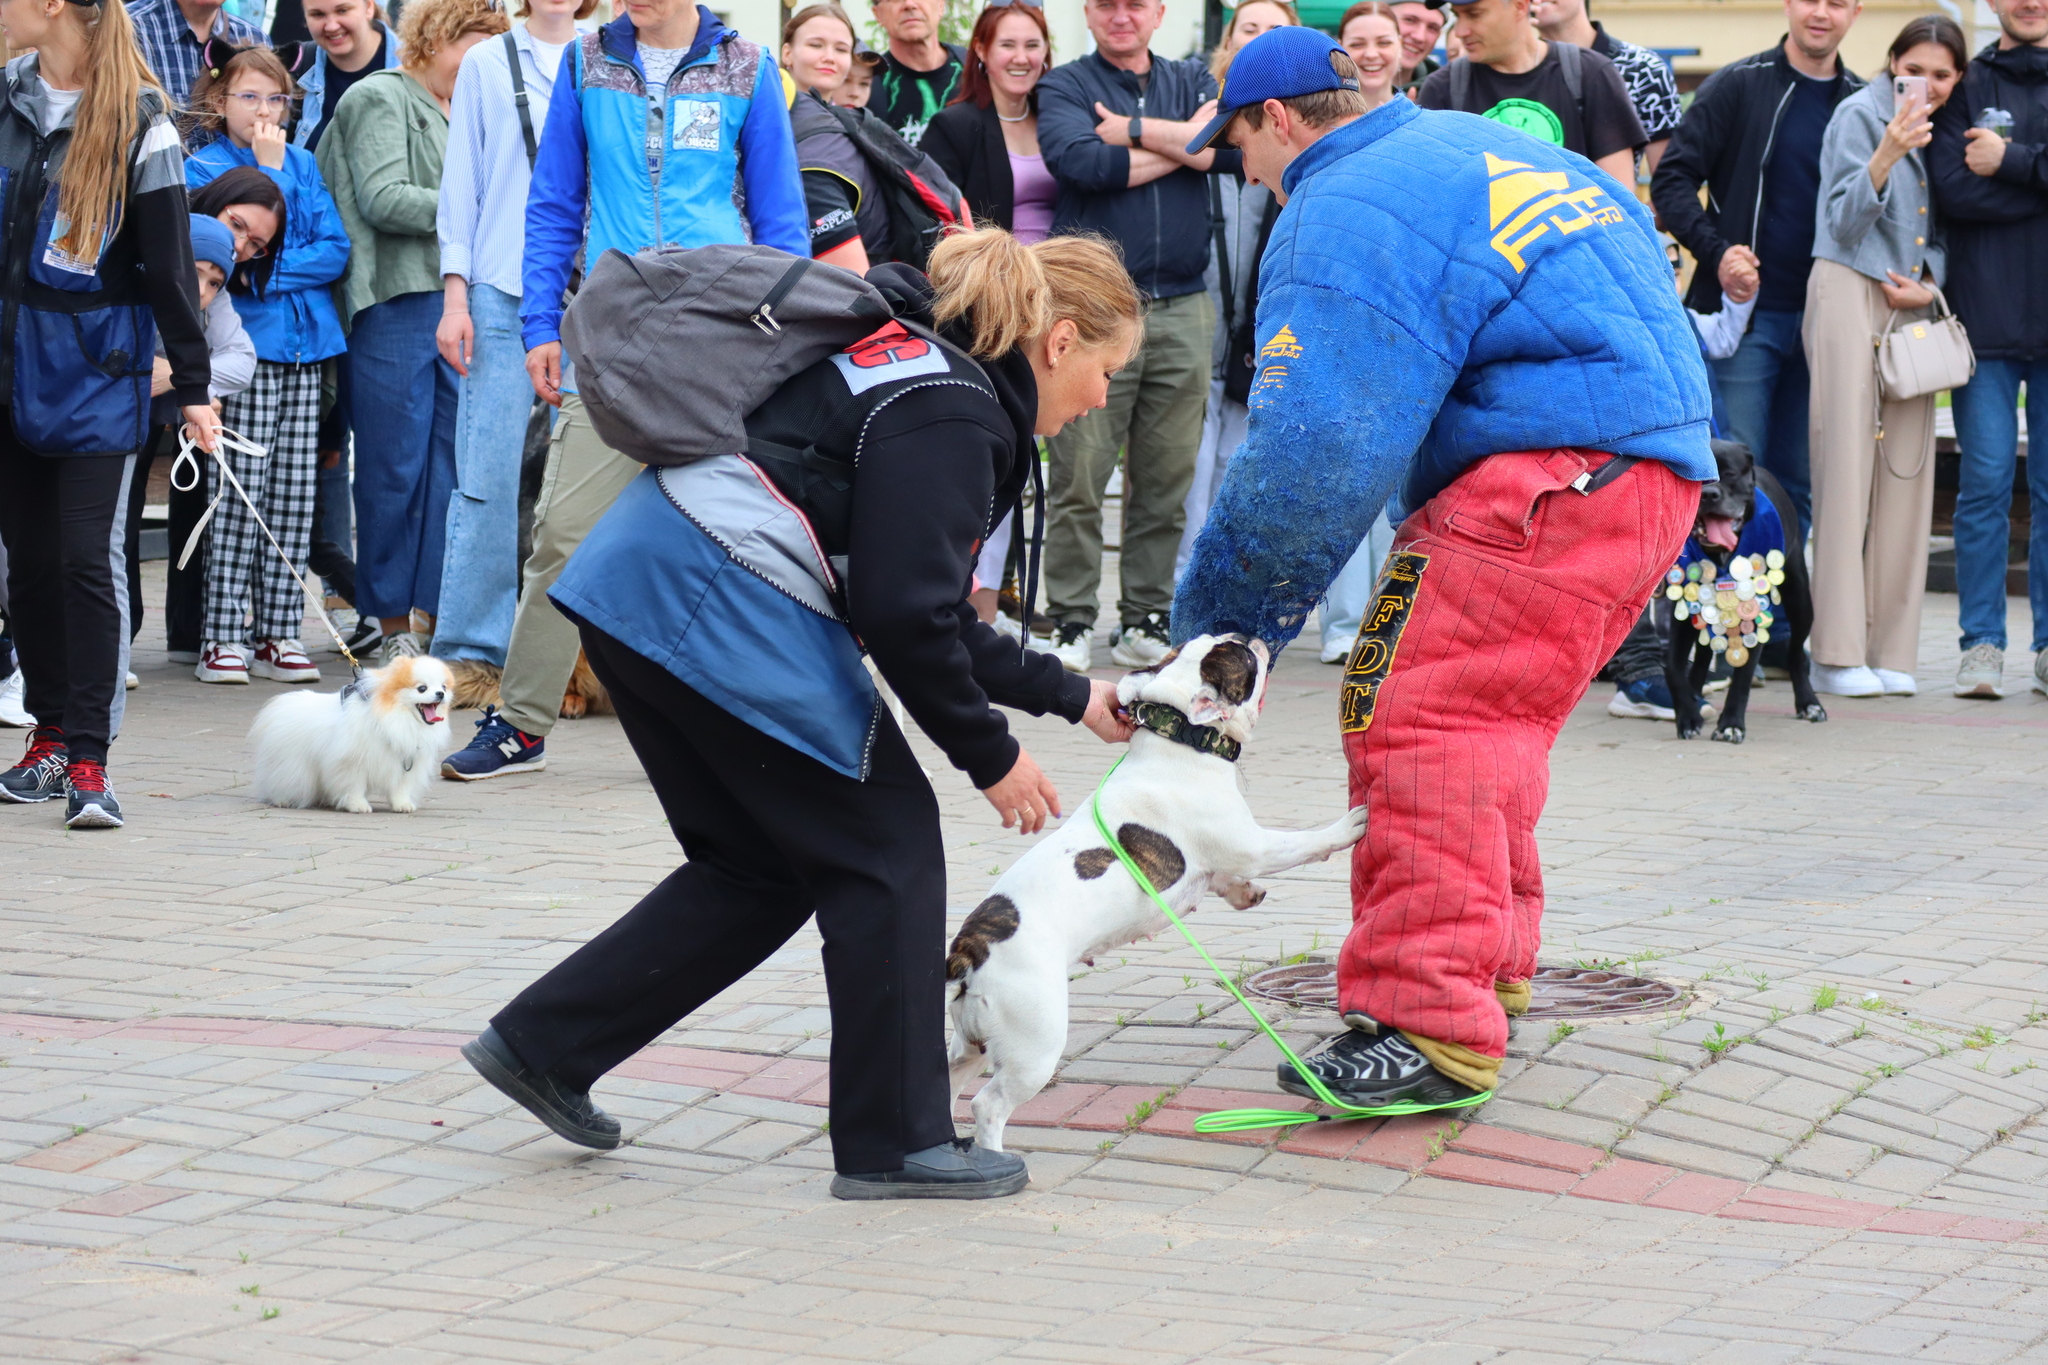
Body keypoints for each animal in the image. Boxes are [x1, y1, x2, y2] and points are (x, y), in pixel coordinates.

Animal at [249, 658, 454, 818]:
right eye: (422, 688)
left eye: (443, 687)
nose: (440, 693)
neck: (394, 718)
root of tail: (282, 703)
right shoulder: (352, 763)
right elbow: (354, 786)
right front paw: (358, 805)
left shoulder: (405, 762)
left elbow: (400, 787)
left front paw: (402, 805)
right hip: (293, 764)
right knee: (283, 778)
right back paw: (283, 800)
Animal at [1662, 444, 1826, 749]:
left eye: (1729, 474)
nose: (1709, 494)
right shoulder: (1683, 614)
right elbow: (1672, 668)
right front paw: (1687, 717)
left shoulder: (1753, 618)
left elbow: (1742, 679)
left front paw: (1730, 725)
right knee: (1702, 656)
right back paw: (1695, 693)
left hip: (1800, 601)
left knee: (1797, 653)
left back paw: (1809, 703)